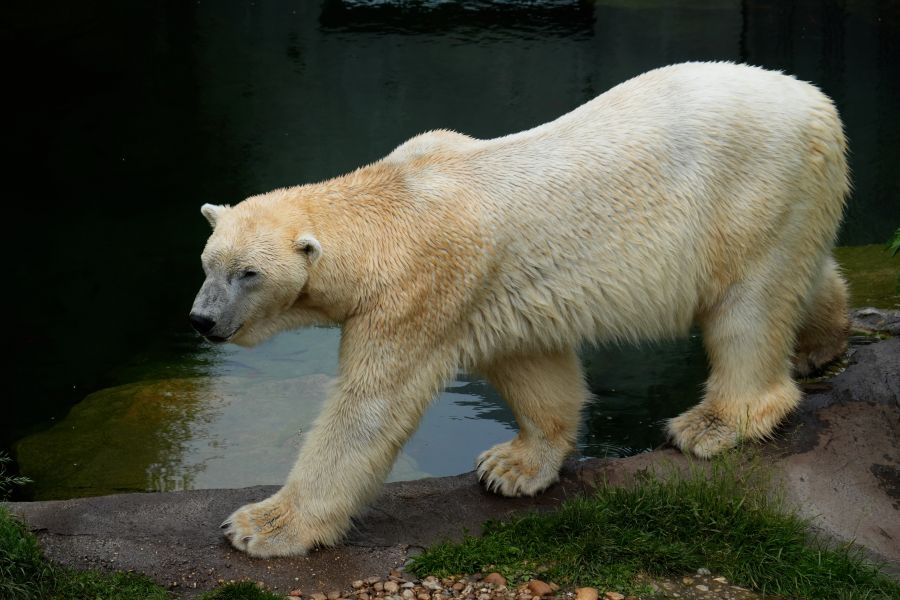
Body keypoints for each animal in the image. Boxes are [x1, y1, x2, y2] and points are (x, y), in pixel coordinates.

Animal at [190, 62, 849, 557]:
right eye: (207, 263)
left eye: (248, 274)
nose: (202, 320)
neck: (393, 205)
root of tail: (818, 100)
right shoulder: (490, 294)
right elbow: (533, 367)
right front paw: (511, 465)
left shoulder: (420, 292)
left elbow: (368, 410)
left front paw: (260, 526)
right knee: (801, 274)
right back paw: (823, 341)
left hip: (755, 193)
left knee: (748, 307)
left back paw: (714, 423)